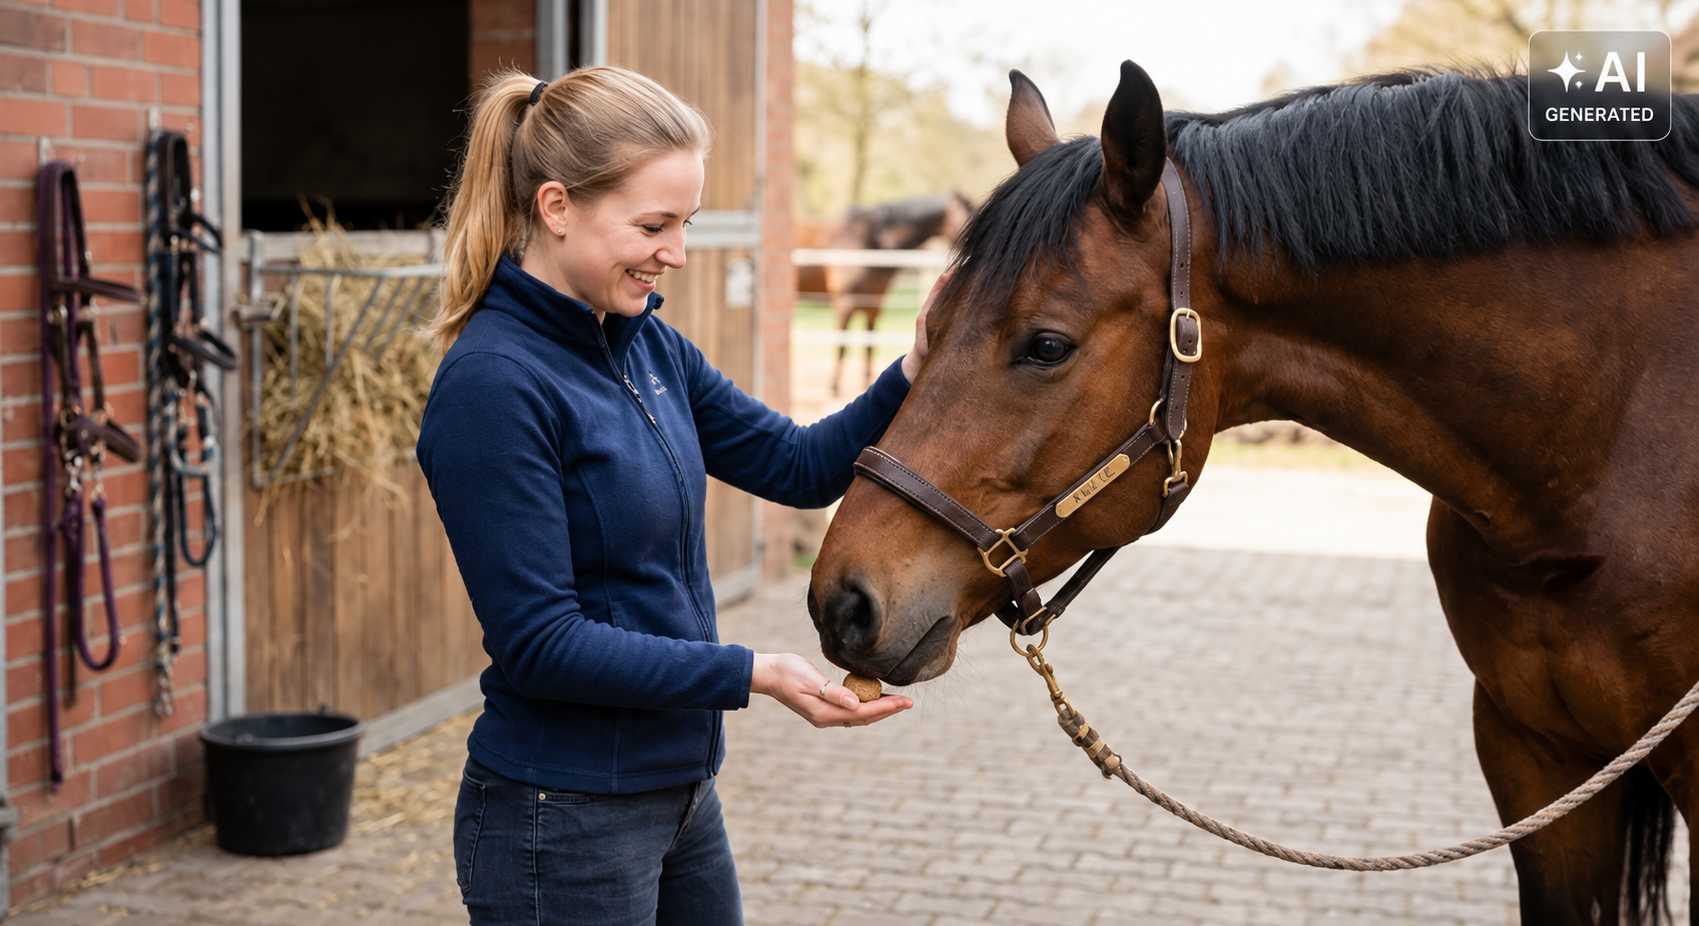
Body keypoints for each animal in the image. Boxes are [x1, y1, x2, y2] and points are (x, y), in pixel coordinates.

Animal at [796, 193, 974, 395]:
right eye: (969, 215)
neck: (872, 241)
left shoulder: (874, 304)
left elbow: (869, 345)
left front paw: (865, 381)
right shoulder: (845, 303)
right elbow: (842, 345)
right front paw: (834, 387)